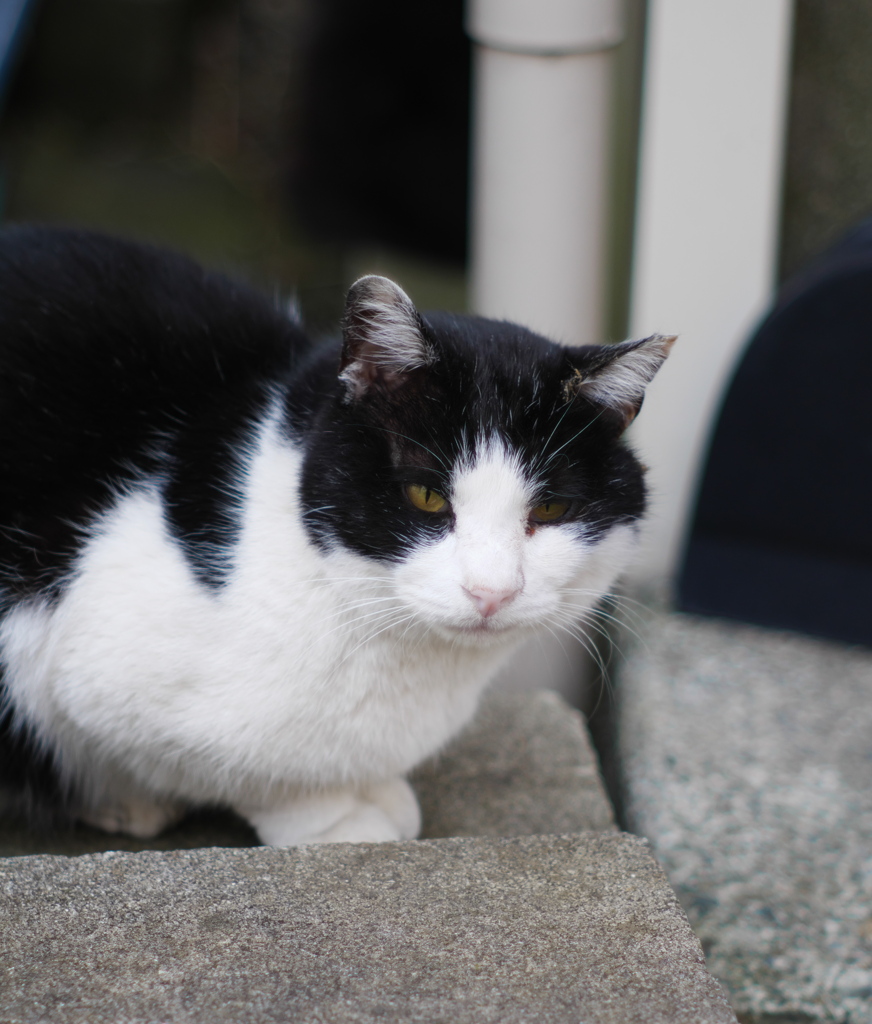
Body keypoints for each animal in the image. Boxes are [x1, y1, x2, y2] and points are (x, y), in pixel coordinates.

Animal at [0, 228, 675, 843]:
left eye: (553, 507)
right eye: (427, 497)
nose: (492, 593)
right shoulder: (82, 656)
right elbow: (247, 772)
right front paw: (339, 819)